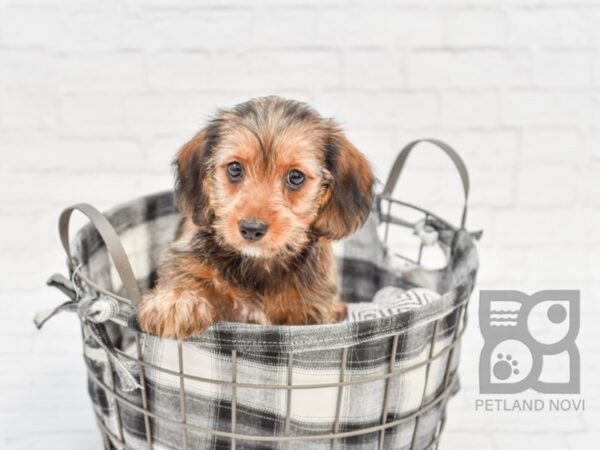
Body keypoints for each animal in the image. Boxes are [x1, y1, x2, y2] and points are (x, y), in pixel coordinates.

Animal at [139, 96, 376, 340]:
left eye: (296, 176)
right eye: (235, 168)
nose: (251, 229)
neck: (258, 266)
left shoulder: (312, 308)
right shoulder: (187, 258)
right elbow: (185, 274)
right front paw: (176, 302)